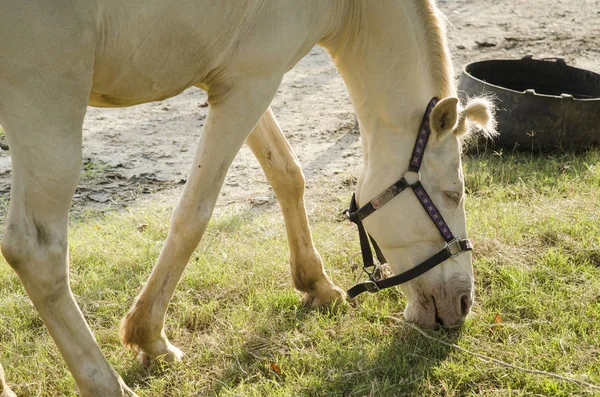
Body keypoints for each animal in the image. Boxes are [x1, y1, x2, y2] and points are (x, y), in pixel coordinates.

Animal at [0, 0, 492, 396]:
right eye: (454, 193)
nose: (464, 304)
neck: (347, 7)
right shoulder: (250, 83)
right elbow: (194, 213)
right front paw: (149, 336)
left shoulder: (242, 82)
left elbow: (287, 173)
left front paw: (316, 283)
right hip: (48, 104)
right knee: (36, 252)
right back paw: (106, 384)